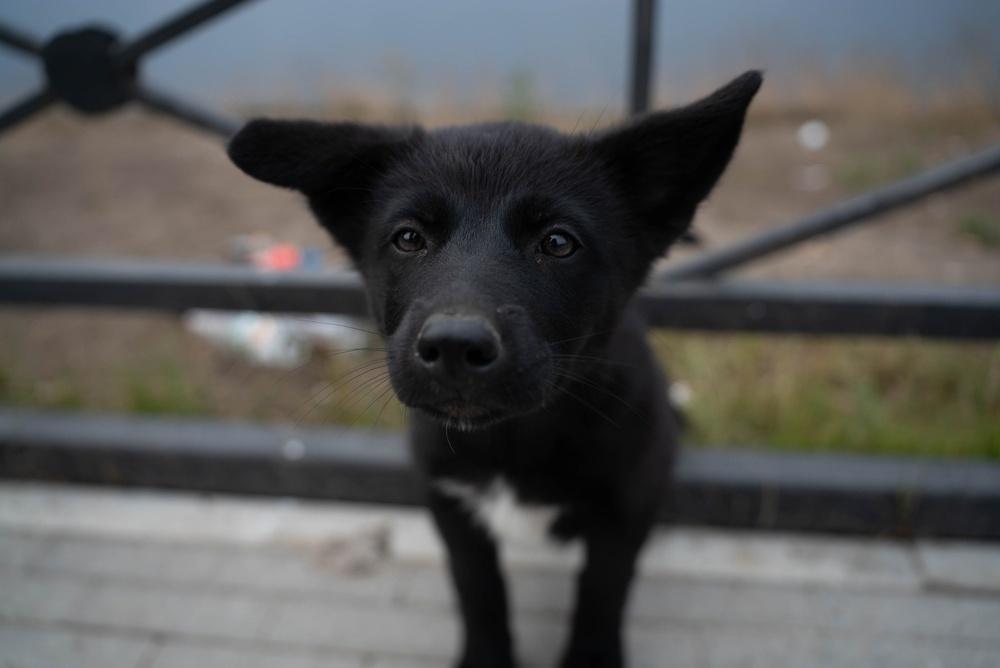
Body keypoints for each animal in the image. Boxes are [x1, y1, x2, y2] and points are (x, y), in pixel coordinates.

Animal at [225, 70, 756, 664]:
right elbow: (477, 590)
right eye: (408, 237)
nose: (455, 346)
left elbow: (602, 595)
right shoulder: (452, 508)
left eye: (558, 242)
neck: (513, 440)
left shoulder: (623, 511)